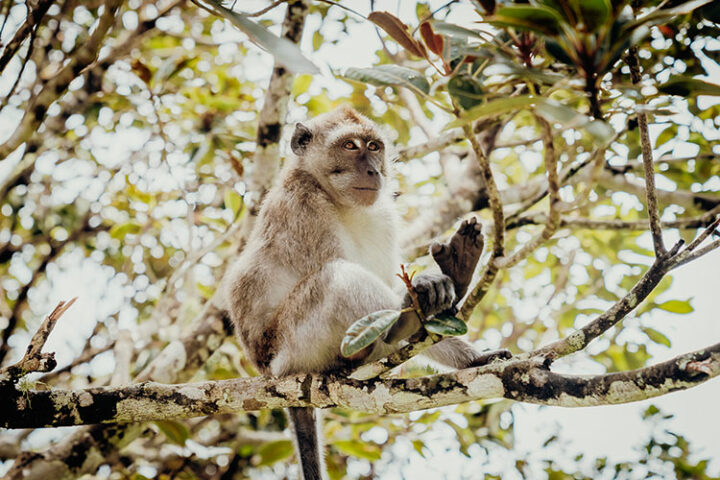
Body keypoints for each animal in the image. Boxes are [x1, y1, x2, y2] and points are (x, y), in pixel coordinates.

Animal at [225, 107, 512, 478]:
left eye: (374, 146)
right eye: (350, 145)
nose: (373, 170)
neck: (332, 195)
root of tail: (267, 371)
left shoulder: (383, 217)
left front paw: (473, 354)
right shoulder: (302, 208)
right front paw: (424, 292)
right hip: (294, 350)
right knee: (339, 277)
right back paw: (407, 320)